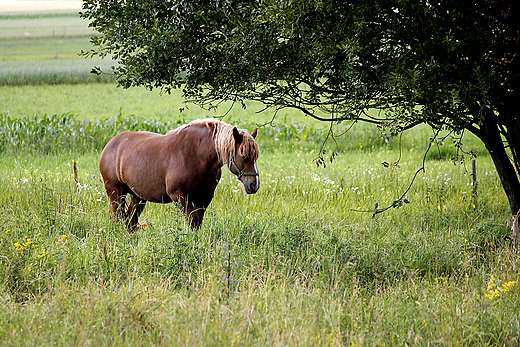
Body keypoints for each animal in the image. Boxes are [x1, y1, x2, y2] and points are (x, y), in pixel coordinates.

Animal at [99, 119, 260, 231]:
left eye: (255, 157)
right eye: (244, 156)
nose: (254, 185)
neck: (197, 155)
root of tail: (110, 144)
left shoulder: (204, 197)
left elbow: (198, 221)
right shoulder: (179, 196)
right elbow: (193, 220)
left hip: (137, 197)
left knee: (130, 222)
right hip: (115, 193)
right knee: (118, 219)